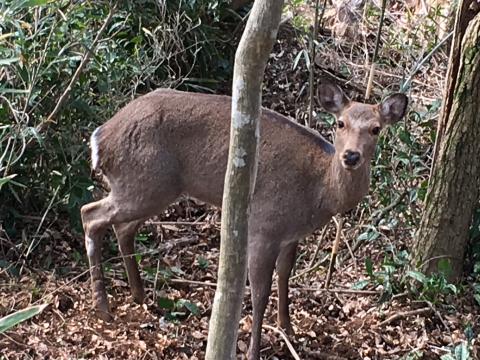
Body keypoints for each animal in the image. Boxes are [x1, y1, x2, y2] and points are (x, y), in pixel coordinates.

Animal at [80, 80, 406, 358]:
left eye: (376, 129)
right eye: (341, 123)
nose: (351, 156)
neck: (318, 192)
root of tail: (100, 139)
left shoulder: (291, 234)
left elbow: (285, 276)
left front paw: (289, 329)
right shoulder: (265, 226)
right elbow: (260, 292)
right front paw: (254, 350)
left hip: (151, 189)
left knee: (121, 227)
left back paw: (138, 296)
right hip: (144, 184)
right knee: (90, 215)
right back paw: (103, 307)